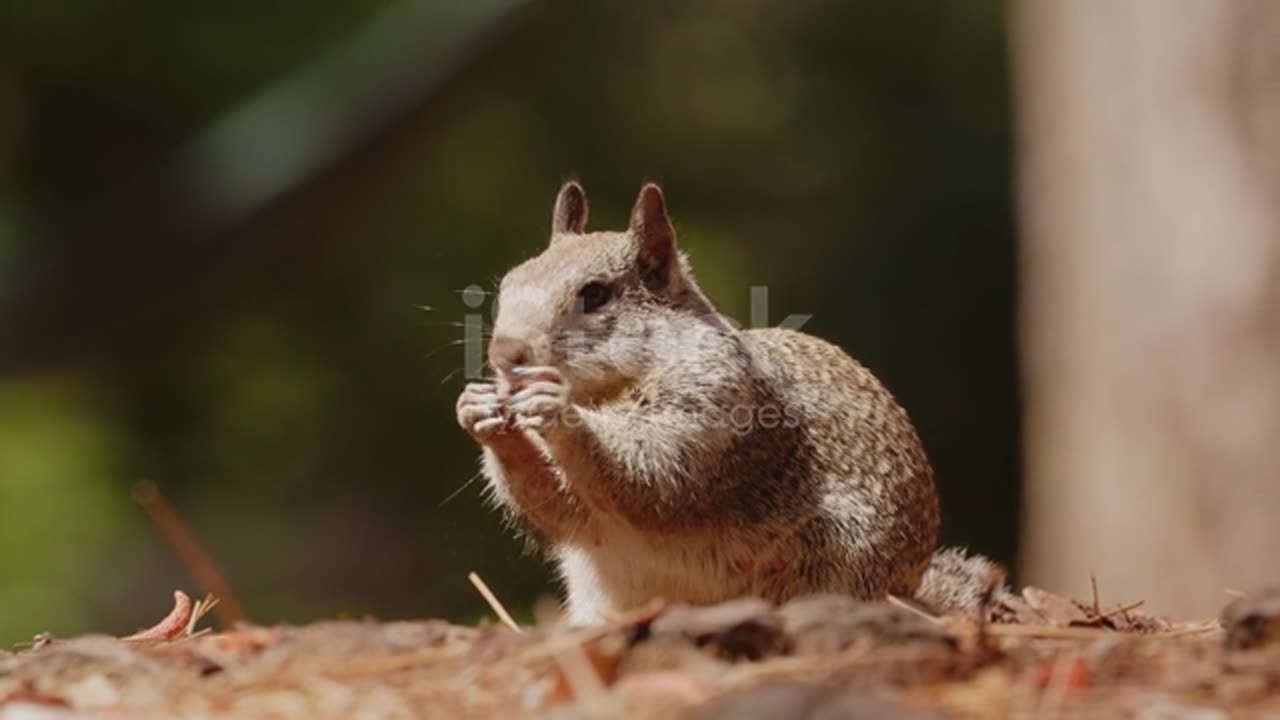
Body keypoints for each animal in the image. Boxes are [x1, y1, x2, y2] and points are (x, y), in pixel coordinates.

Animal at [455, 179, 1003, 622]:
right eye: (509, 283)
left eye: (595, 295)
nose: (505, 354)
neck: (607, 389)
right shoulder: (586, 513)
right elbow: (561, 509)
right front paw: (481, 415)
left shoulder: (717, 409)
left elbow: (651, 472)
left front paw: (557, 409)